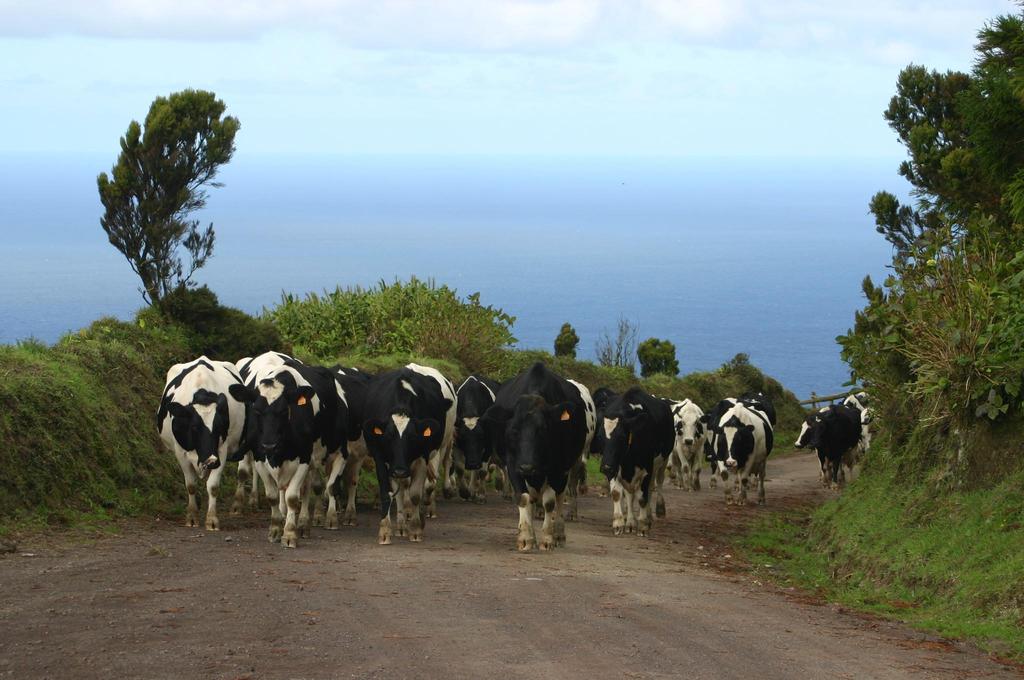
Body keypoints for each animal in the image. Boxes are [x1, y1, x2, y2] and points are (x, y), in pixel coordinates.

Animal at [158, 356, 248, 532]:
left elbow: (212, 486)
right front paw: (192, 516)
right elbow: (191, 485)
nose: (211, 460)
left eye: (220, 426)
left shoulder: (221, 450)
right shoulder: (180, 452)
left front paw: (212, 520)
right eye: (194, 427)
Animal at [230, 360, 350, 548]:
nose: (269, 444)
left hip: (336, 451)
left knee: (327, 486)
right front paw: (276, 529)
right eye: (256, 411)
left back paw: (325, 519)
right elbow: (272, 496)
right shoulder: (260, 458)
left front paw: (289, 534)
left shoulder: (305, 459)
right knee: (303, 488)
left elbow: (293, 497)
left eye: (283, 411)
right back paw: (300, 523)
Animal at [362, 364, 454, 544]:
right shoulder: (380, 456)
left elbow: (416, 495)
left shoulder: (422, 457)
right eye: (388, 436)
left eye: (412, 437)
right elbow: (387, 493)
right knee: (401, 488)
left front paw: (416, 529)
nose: (399, 470)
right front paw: (385, 531)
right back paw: (401, 526)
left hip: (442, 445)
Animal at [481, 364, 598, 548]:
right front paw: (526, 537)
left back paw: (560, 531)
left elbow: (550, 502)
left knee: (564, 494)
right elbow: (523, 498)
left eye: (543, 430)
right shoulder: (513, 465)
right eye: (513, 430)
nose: (527, 467)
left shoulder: (558, 468)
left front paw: (548, 538)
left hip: (575, 461)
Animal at [598, 387, 675, 536]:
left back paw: (654, 513)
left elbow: (643, 497)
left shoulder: (647, 468)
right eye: (600, 436)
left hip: (662, 462)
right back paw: (630, 522)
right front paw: (619, 523)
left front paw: (643, 525)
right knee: (630, 493)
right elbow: (617, 493)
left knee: (656, 484)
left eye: (622, 436)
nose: (605, 467)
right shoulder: (616, 466)